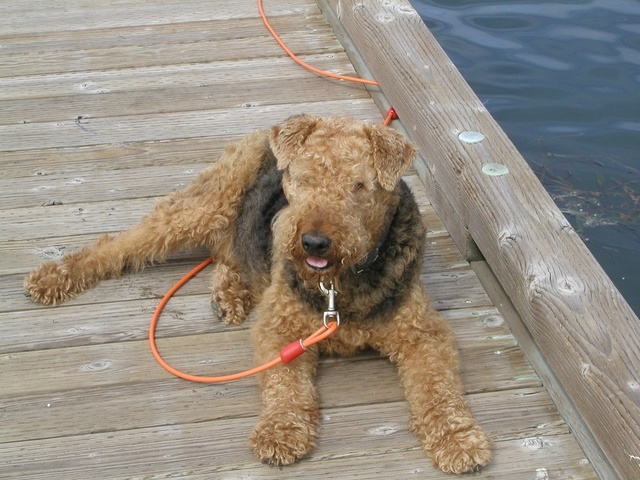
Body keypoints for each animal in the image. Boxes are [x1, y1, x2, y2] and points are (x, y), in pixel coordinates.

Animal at [23, 115, 490, 472]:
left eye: (358, 185)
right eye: (303, 178)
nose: (314, 242)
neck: (340, 284)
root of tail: (265, 132)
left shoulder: (423, 334)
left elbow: (438, 390)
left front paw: (458, 440)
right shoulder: (280, 330)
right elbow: (285, 386)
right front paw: (280, 433)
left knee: (228, 251)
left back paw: (228, 294)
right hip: (200, 208)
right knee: (120, 244)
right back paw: (52, 276)